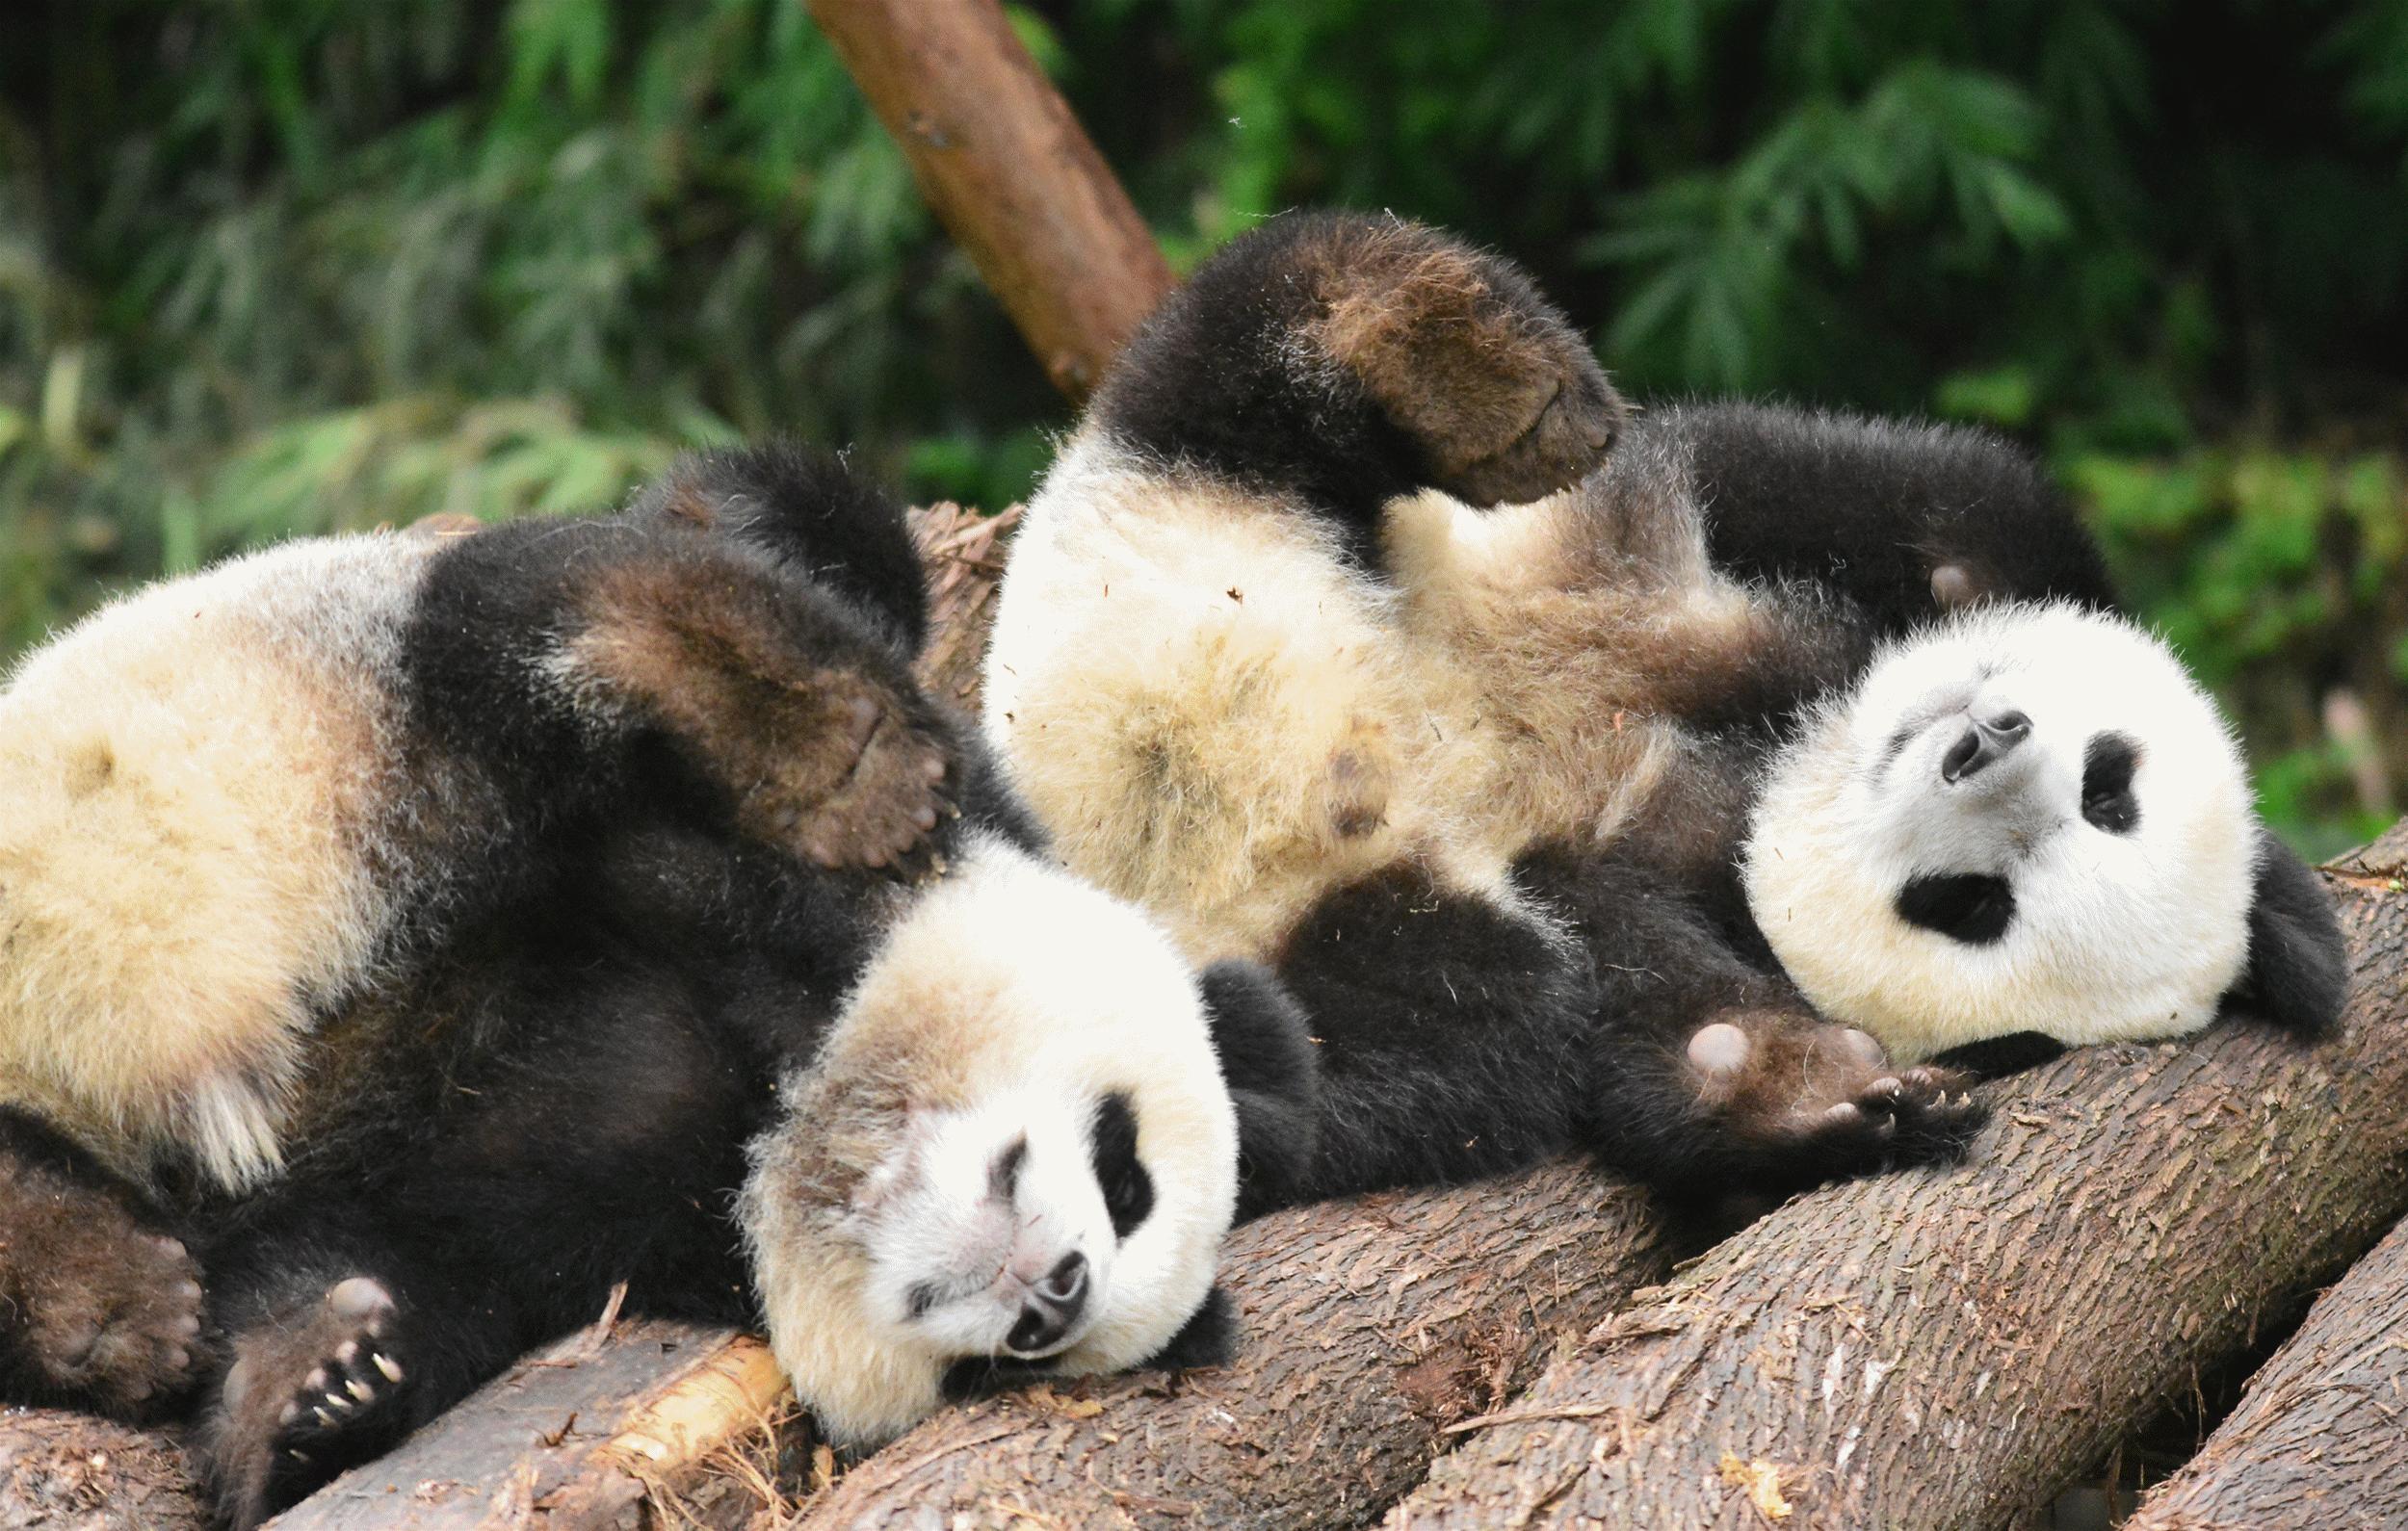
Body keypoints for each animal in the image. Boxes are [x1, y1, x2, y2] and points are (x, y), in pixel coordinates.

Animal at [0, 440, 1320, 1521]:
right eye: (1125, 1169)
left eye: (1015, 1359)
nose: (1058, 1293)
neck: (794, 1098)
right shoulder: (760, 887)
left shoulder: (585, 1226)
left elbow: (356, 1264)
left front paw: (315, 1386)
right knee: (569, 613)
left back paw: (98, 1304)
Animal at [973, 212, 2331, 1218]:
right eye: (2111, 778)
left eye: (1974, 907)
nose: (1973, 750)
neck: (1781, 754)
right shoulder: (1719, 512)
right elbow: (1945, 505)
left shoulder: (1627, 868)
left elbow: (1655, 1022)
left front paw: (1817, 1097)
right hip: (1210, 511)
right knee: (1258, 342)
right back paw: (1476, 373)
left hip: (1348, 908)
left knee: (1449, 1039)